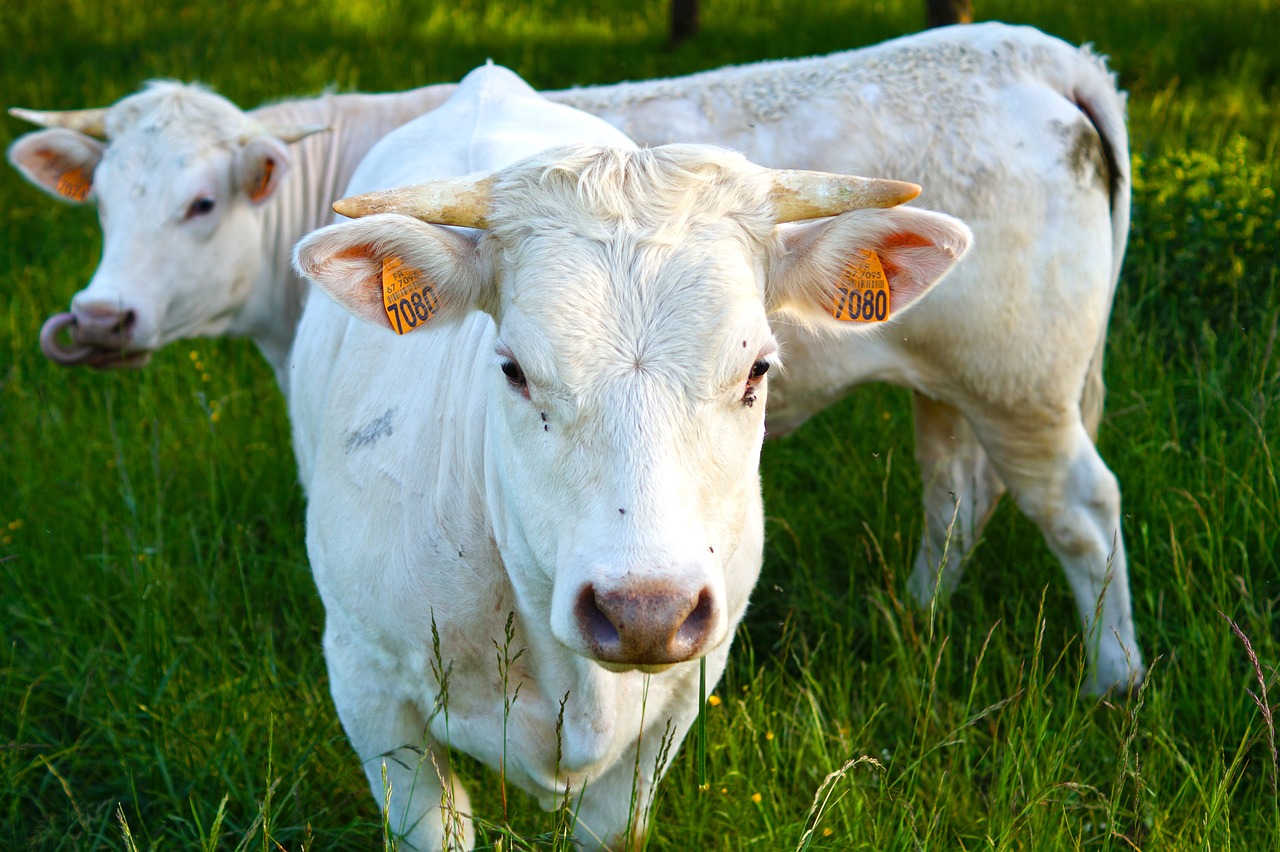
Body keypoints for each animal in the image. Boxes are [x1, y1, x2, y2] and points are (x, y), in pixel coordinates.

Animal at [10, 21, 1141, 690]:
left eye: (201, 204)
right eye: (101, 203)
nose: (98, 318)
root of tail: (1034, 50)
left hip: (1023, 381)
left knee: (1079, 509)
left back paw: (1114, 684)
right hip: (951, 379)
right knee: (956, 495)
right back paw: (913, 620)